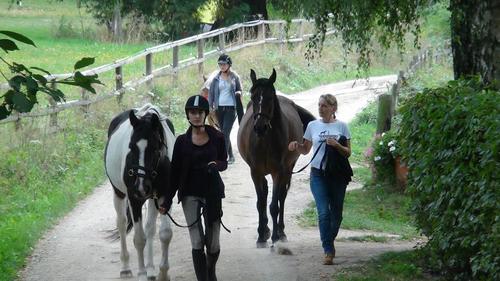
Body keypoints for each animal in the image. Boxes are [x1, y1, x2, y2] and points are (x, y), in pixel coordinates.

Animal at [103, 104, 176, 280]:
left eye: (155, 148)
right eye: (131, 147)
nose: (141, 187)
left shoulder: (164, 197)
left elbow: (165, 234)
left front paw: (163, 273)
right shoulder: (134, 199)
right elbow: (139, 239)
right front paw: (141, 273)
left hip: (151, 198)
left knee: (150, 228)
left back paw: (151, 269)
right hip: (119, 193)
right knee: (122, 224)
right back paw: (126, 268)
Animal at [236, 69, 314, 246]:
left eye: (270, 97)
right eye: (253, 97)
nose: (260, 127)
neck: (264, 141)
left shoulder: (278, 172)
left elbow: (274, 205)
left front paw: (276, 236)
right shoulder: (255, 172)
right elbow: (260, 203)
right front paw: (261, 236)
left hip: (288, 169)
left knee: (282, 197)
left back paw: (281, 232)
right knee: (265, 194)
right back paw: (265, 230)